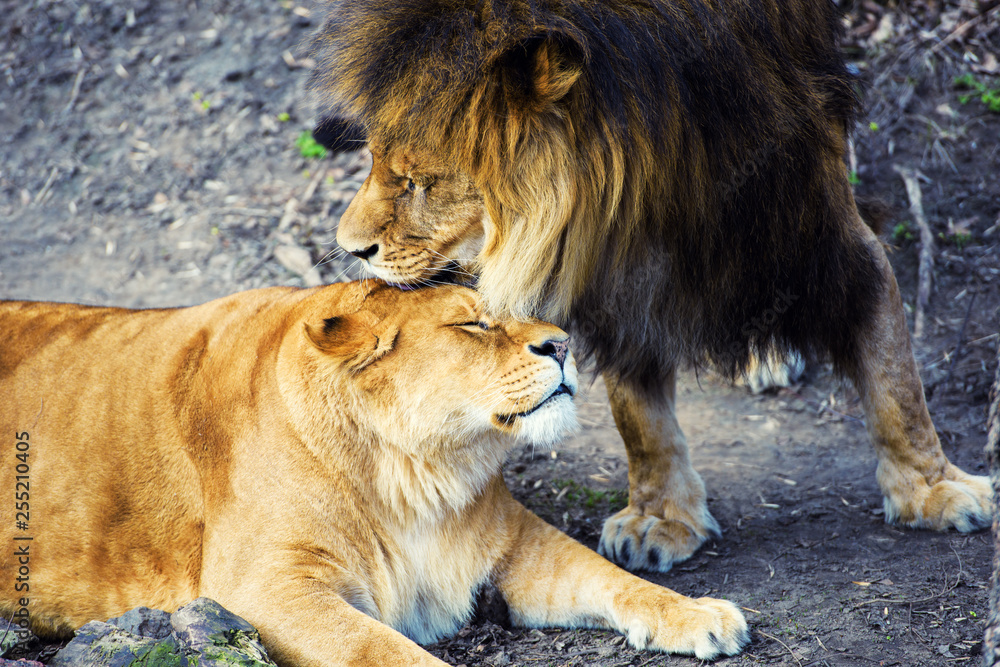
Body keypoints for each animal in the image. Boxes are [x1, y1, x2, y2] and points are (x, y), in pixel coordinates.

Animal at [0, 282, 749, 664]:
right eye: (473, 324)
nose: (564, 343)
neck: (420, 475)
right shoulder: (264, 588)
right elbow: (388, 653)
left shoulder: (515, 541)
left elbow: (613, 578)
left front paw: (700, 615)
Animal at [310, 0, 993, 573]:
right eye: (373, 159)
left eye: (419, 181)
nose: (348, 248)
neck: (664, 158)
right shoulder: (617, 267)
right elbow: (640, 415)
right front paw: (660, 518)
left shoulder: (822, 229)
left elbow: (894, 370)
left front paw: (935, 489)